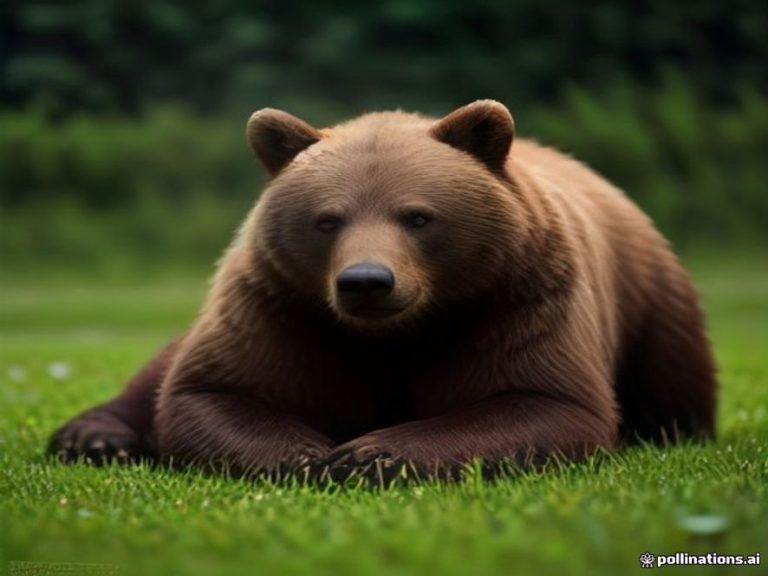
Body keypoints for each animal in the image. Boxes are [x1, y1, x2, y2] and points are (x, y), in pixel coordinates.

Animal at [49, 100, 717, 482]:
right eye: (327, 220)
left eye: (418, 216)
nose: (366, 281)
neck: (397, 333)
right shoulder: (281, 306)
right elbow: (210, 392)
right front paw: (309, 456)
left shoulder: (518, 298)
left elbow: (548, 401)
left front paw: (368, 454)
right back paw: (93, 436)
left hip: (653, 307)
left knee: (674, 387)